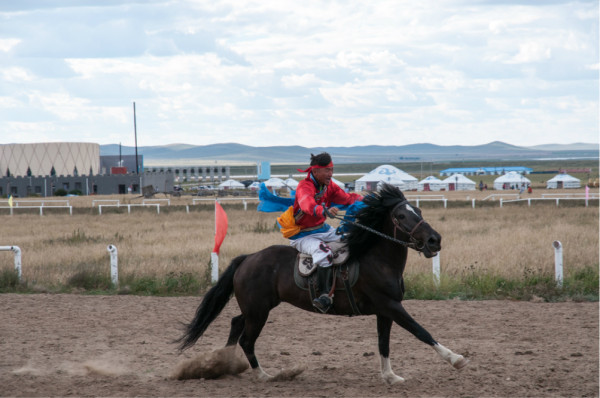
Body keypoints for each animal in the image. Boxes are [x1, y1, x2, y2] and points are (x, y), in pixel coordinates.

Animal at [177, 184, 468, 386]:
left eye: (418, 211)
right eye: (401, 216)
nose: (434, 241)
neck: (377, 259)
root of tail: (248, 258)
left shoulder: (385, 310)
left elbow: (383, 343)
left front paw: (390, 376)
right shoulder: (391, 305)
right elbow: (421, 331)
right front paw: (456, 359)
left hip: (255, 308)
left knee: (236, 323)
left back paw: (224, 364)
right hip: (259, 311)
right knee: (247, 339)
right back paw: (264, 375)